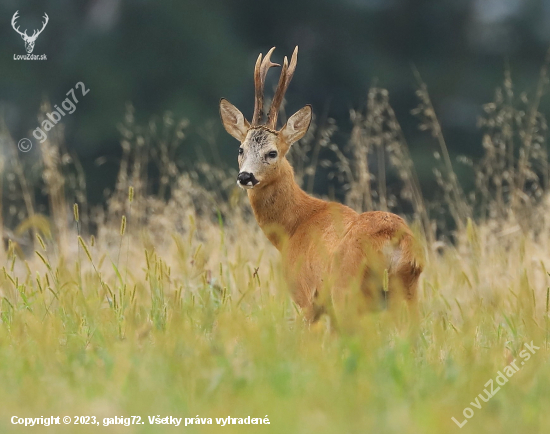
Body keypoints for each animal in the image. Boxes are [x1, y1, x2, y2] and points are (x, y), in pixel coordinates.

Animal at [218, 47, 424, 326]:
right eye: (241, 149)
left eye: (272, 153)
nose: (245, 176)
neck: (293, 226)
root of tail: (395, 240)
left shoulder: (307, 296)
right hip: (407, 291)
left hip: (347, 291)